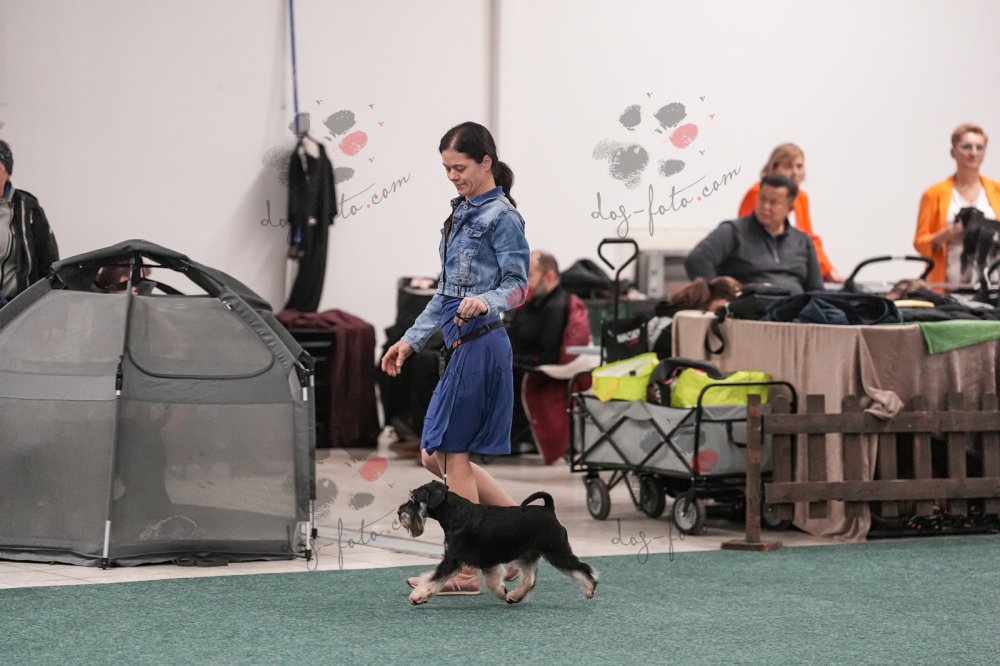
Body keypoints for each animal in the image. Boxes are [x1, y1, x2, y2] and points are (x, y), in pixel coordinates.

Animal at [397, 480, 598, 605]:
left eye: (414, 499)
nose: (399, 512)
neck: (454, 513)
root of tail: (549, 510)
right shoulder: (487, 561)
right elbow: (493, 581)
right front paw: (502, 592)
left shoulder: (451, 560)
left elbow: (433, 579)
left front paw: (417, 596)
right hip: (527, 556)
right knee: (530, 579)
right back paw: (515, 596)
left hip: (557, 551)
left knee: (582, 568)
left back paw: (589, 588)